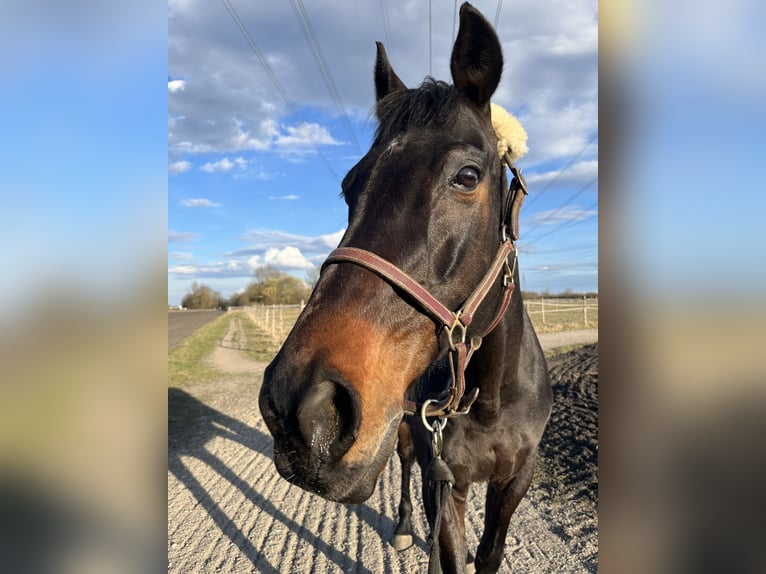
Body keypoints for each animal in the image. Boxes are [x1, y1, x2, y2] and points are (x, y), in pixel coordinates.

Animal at [259, 3, 552, 572]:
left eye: (467, 176)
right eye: (350, 185)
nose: (299, 407)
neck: (491, 396)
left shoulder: (515, 480)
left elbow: (490, 552)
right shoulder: (447, 483)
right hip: (402, 430)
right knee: (405, 463)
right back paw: (399, 526)